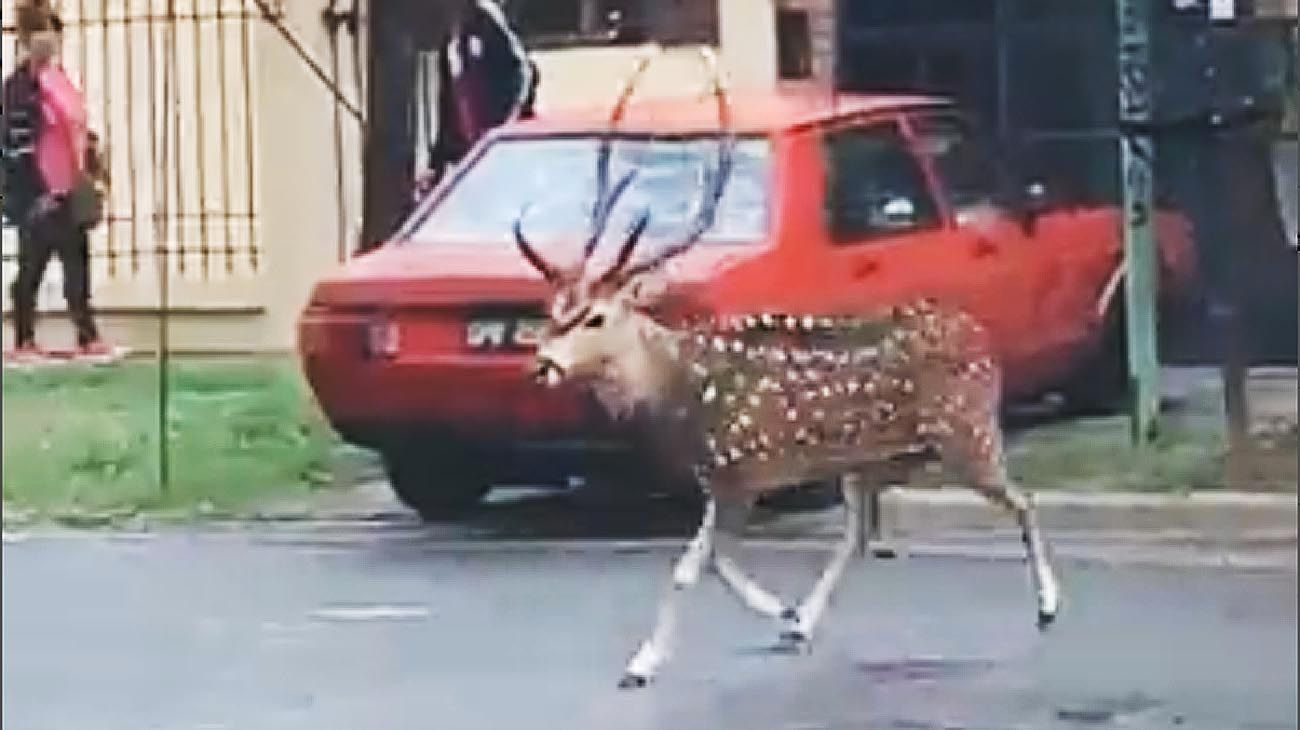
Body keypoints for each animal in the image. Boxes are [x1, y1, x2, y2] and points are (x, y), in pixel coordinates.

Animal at [511, 46, 1061, 689]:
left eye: (596, 318)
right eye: (551, 312)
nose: (541, 366)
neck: (682, 395)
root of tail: (981, 336)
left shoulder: (741, 470)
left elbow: (701, 564)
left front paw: (647, 662)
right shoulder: (719, 479)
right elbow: (702, 562)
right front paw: (773, 619)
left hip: (965, 431)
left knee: (1022, 497)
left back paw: (1049, 605)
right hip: (873, 459)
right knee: (858, 534)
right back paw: (807, 621)